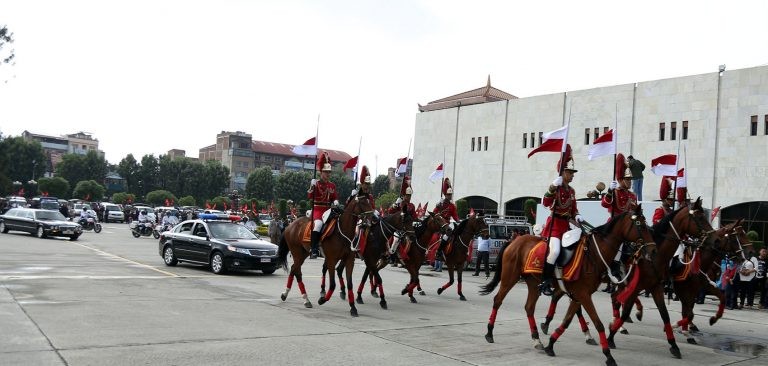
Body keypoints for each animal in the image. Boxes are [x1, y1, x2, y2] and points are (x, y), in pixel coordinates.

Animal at [480, 206, 656, 366]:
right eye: (640, 225)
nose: (653, 250)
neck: (593, 254)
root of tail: (514, 241)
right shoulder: (583, 294)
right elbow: (598, 323)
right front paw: (608, 355)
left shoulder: (580, 295)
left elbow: (567, 320)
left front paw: (551, 344)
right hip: (510, 277)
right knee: (498, 300)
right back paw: (489, 333)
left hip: (533, 282)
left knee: (529, 307)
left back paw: (537, 339)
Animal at [604, 197, 716, 358]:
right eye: (700, 217)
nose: (715, 238)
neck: (655, 256)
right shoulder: (637, 286)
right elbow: (625, 313)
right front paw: (610, 337)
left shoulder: (656, 287)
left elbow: (665, 315)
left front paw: (674, 345)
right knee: (616, 300)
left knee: (615, 298)